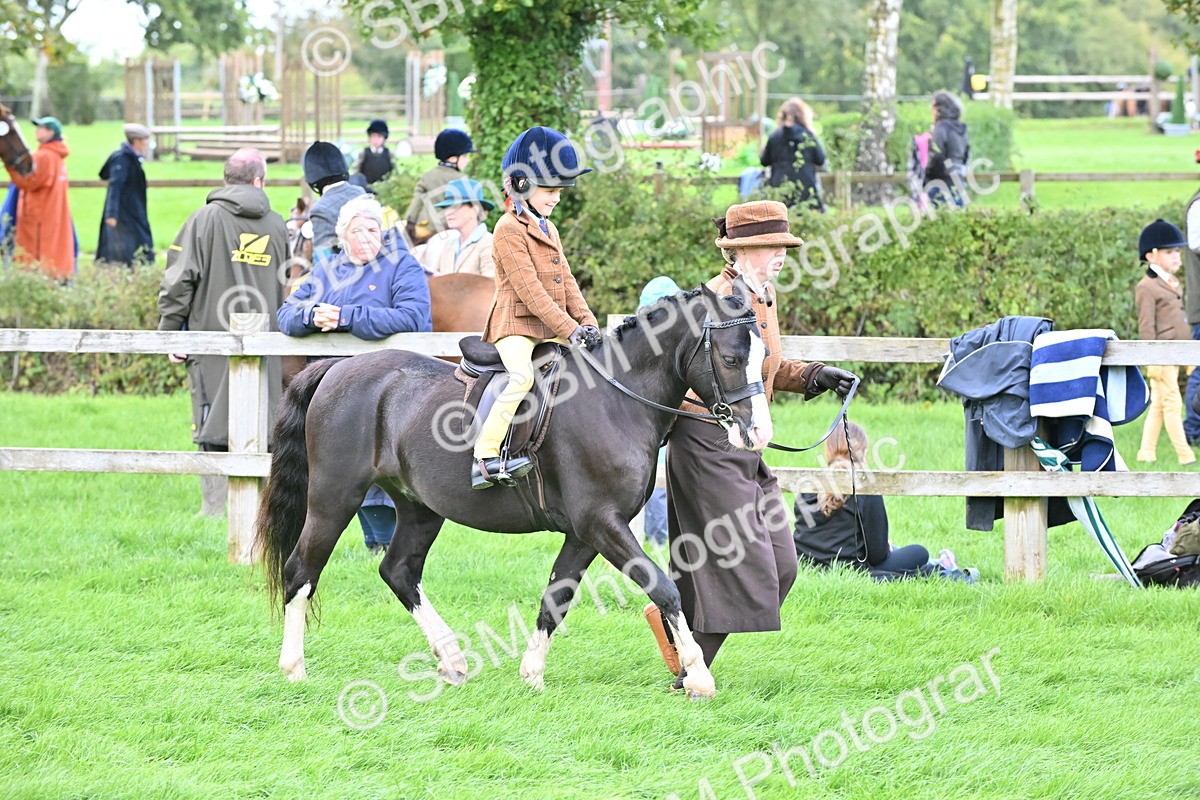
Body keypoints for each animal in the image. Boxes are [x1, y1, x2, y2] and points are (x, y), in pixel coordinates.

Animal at [254, 284, 774, 700]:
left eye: (763, 357)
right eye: (730, 358)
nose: (758, 434)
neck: (616, 399)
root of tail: (337, 368)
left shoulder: (584, 533)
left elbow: (555, 598)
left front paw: (532, 674)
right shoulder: (602, 524)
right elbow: (664, 588)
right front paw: (698, 677)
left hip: (420, 507)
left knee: (398, 571)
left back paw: (452, 659)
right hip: (333, 499)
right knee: (301, 571)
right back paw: (294, 668)